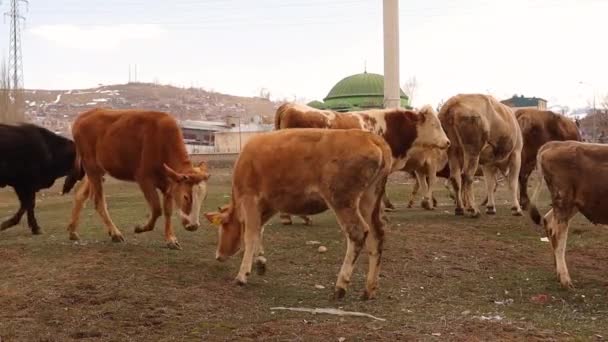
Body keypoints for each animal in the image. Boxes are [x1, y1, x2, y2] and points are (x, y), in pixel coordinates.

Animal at [66, 108, 209, 250]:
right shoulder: (144, 179)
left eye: (203, 197)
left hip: (97, 171)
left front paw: (171, 239)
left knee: (80, 195)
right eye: (186, 197)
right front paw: (140, 228)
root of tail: (84, 115)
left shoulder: (169, 185)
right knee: (99, 202)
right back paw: (115, 233)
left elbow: (167, 211)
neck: (162, 142)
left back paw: (73, 231)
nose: (193, 226)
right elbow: (157, 209)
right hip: (92, 168)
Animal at [202, 128, 392, 300]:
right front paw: (260, 262)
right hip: (369, 199)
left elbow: (250, 235)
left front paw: (242, 275)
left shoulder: (250, 198)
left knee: (357, 233)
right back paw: (369, 289)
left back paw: (340, 286)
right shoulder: (270, 204)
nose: (218, 255)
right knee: (377, 235)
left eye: (222, 228)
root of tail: (370, 137)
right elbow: (259, 230)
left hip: (342, 199)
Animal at [528, 140, 608, 288]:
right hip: (563, 202)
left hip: (571, 205)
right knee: (559, 237)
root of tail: (556, 144)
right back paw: (565, 280)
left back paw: (558, 272)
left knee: (548, 221)